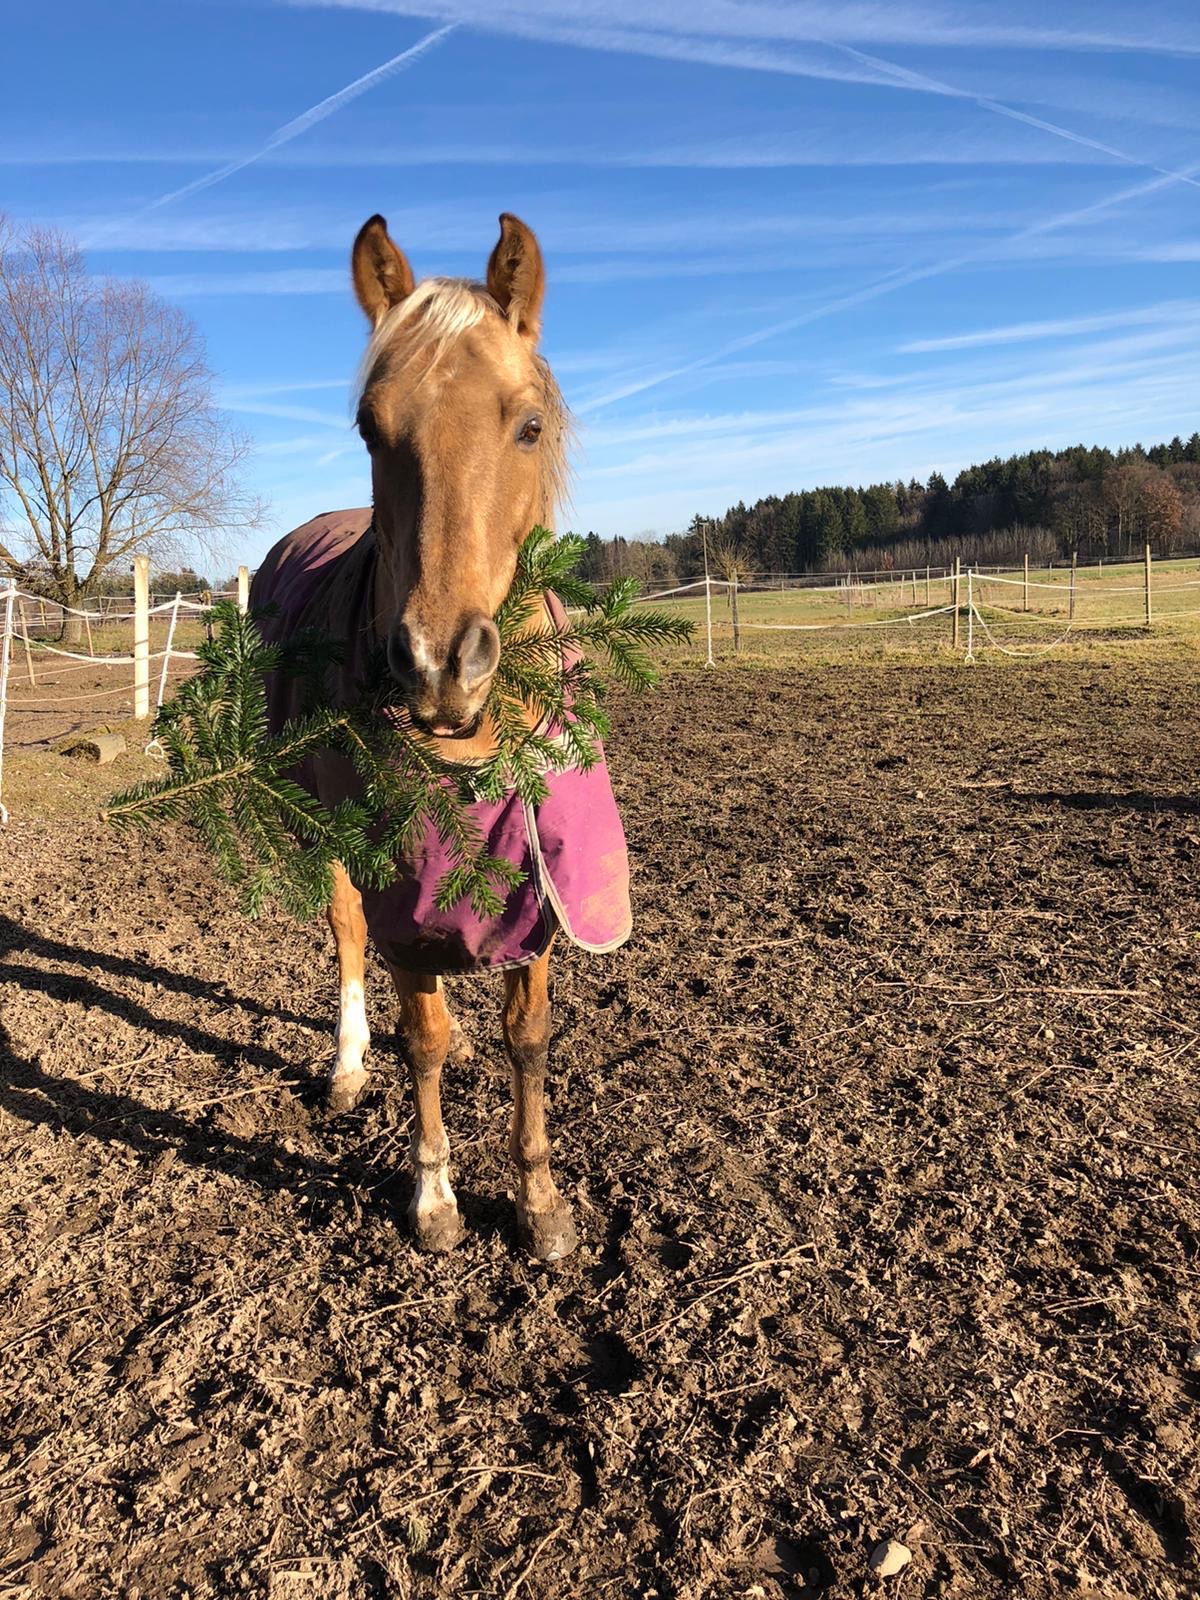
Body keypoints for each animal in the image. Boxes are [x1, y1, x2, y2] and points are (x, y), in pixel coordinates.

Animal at [249, 212, 633, 1260]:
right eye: (370, 429)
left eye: (528, 425)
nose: (438, 664)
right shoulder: (393, 874)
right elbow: (415, 1035)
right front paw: (433, 1197)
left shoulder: (541, 878)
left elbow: (526, 1037)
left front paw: (539, 1200)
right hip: (326, 833)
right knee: (347, 936)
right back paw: (348, 1065)